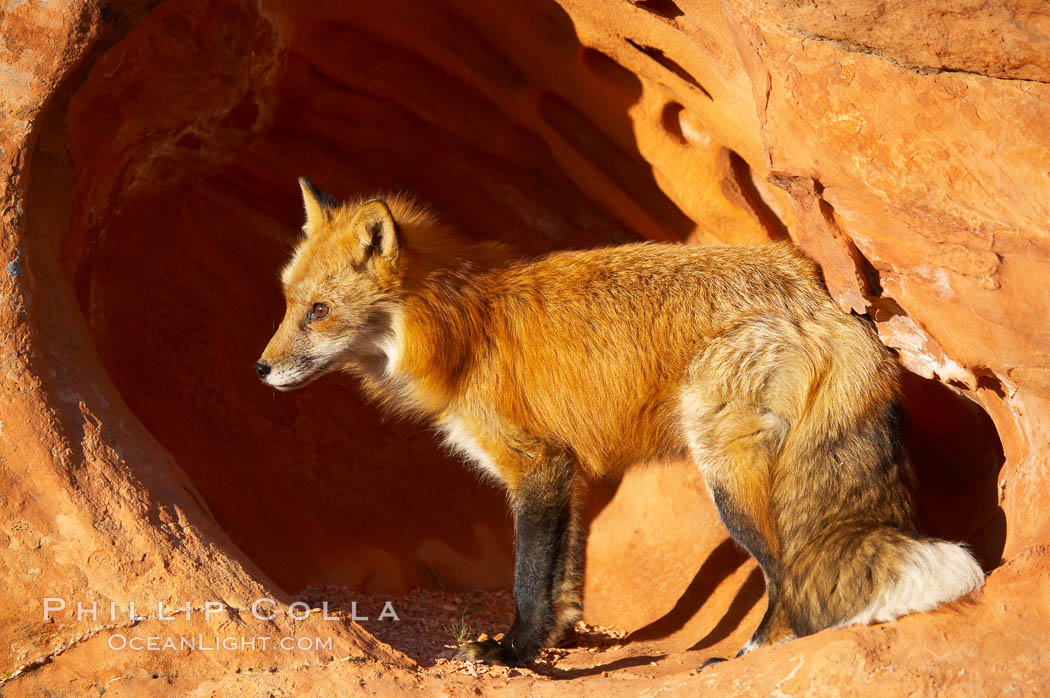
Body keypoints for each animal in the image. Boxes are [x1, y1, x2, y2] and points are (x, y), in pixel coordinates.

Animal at [254, 178, 982, 663]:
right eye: (289, 303)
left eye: (319, 311)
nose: (259, 370)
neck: (459, 327)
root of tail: (815, 291)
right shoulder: (569, 474)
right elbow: (567, 576)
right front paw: (558, 643)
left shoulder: (535, 467)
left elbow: (528, 578)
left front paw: (513, 653)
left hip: (726, 473)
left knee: (783, 569)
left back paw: (753, 655)